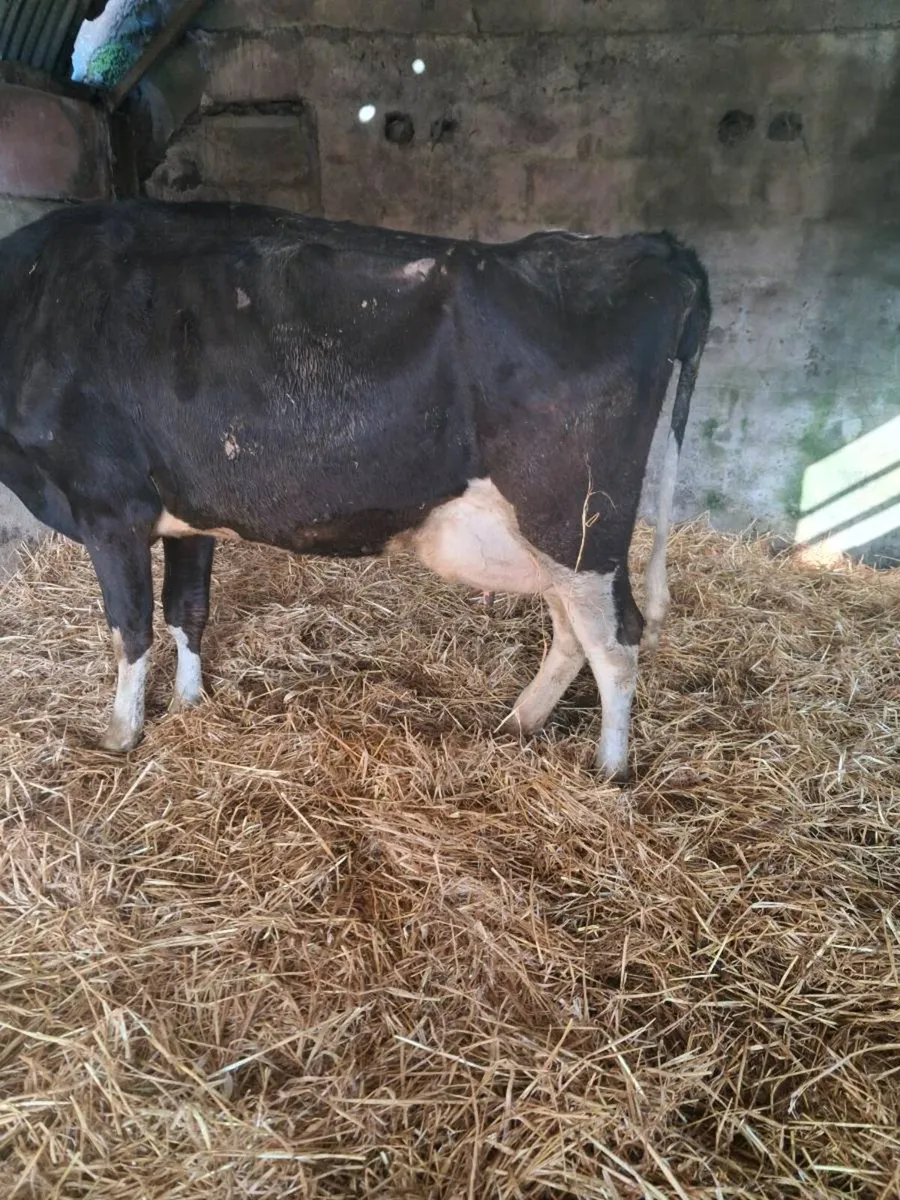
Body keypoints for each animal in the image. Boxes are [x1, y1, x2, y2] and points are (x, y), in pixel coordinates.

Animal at [0, 200, 709, 780]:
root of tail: (649, 248)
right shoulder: (188, 513)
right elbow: (187, 611)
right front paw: (190, 701)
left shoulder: (107, 506)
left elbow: (131, 627)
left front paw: (121, 733)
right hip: (553, 537)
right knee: (573, 630)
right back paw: (520, 722)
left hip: (576, 521)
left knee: (615, 641)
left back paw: (609, 772)